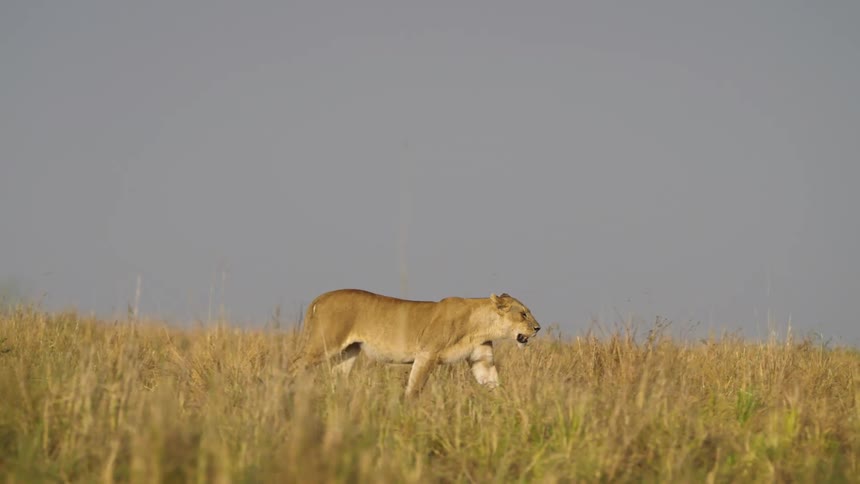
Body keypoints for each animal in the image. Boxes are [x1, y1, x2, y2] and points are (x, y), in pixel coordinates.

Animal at [290, 289, 541, 396]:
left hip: (348, 352)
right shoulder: (426, 354)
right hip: (325, 343)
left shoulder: (482, 360)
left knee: (337, 377)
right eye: (523, 314)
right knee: (295, 365)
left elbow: (493, 382)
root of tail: (320, 297)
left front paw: (507, 407)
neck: (480, 324)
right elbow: (415, 387)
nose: (538, 328)